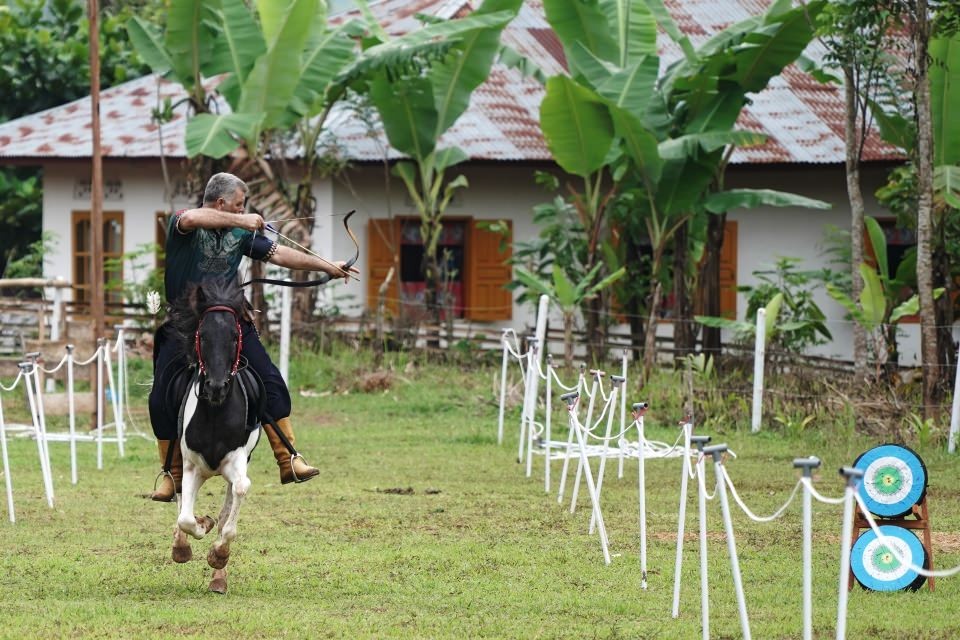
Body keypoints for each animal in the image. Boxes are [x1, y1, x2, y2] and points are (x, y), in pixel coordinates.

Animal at [167, 278, 260, 592]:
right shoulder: (192, 466)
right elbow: (185, 517)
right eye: (203, 336)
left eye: (234, 336)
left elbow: (239, 493)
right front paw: (196, 529)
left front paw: (218, 555)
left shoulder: (237, 460)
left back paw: (219, 578)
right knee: (178, 496)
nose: (216, 387)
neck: (216, 415)